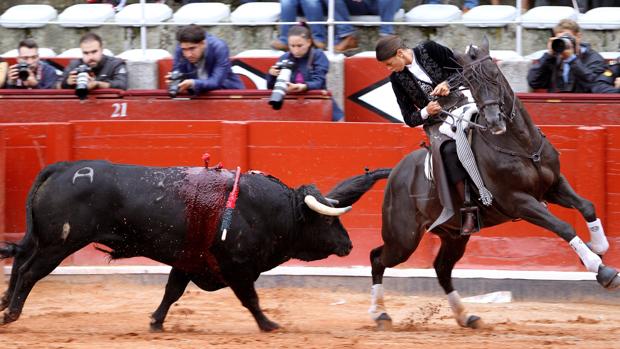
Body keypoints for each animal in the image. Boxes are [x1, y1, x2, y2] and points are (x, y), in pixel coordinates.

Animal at [0, 159, 388, 330]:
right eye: (328, 220)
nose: (348, 245)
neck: (268, 210)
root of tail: (65, 167)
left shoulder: (188, 261)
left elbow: (171, 291)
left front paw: (156, 322)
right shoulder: (237, 268)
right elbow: (250, 299)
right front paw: (269, 325)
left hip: (43, 240)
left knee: (19, 264)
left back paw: (4, 306)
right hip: (58, 245)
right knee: (30, 272)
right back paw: (11, 314)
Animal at [368, 38, 620, 328]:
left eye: (496, 76)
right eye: (471, 82)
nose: (494, 121)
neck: (521, 145)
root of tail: (395, 173)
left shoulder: (554, 184)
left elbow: (587, 205)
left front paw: (600, 248)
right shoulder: (519, 201)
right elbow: (564, 226)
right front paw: (601, 269)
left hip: (454, 235)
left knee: (442, 268)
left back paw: (466, 316)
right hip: (403, 238)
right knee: (378, 258)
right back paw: (380, 314)